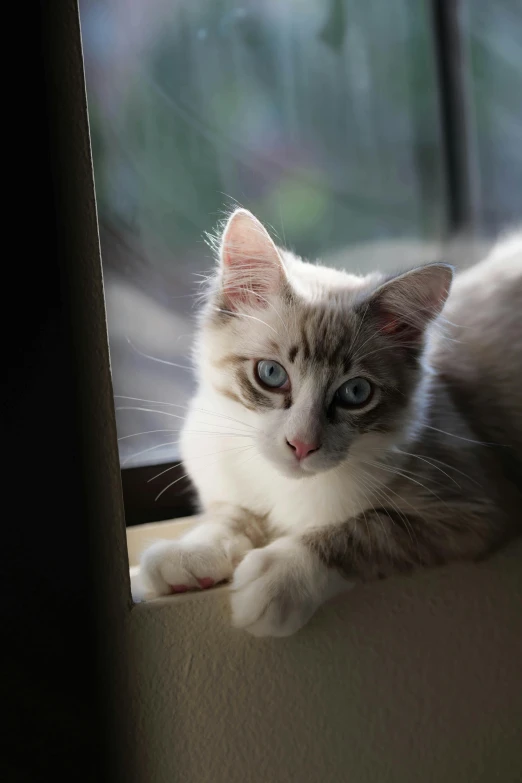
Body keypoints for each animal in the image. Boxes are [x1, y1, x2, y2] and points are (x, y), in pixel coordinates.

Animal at [138, 208, 520, 636]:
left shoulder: (475, 507)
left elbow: (364, 529)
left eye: (355, 393)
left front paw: (280, 577)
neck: (287, 488)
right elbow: (231, 515)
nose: (302, 445)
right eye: (271, 374)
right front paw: (190, 552)